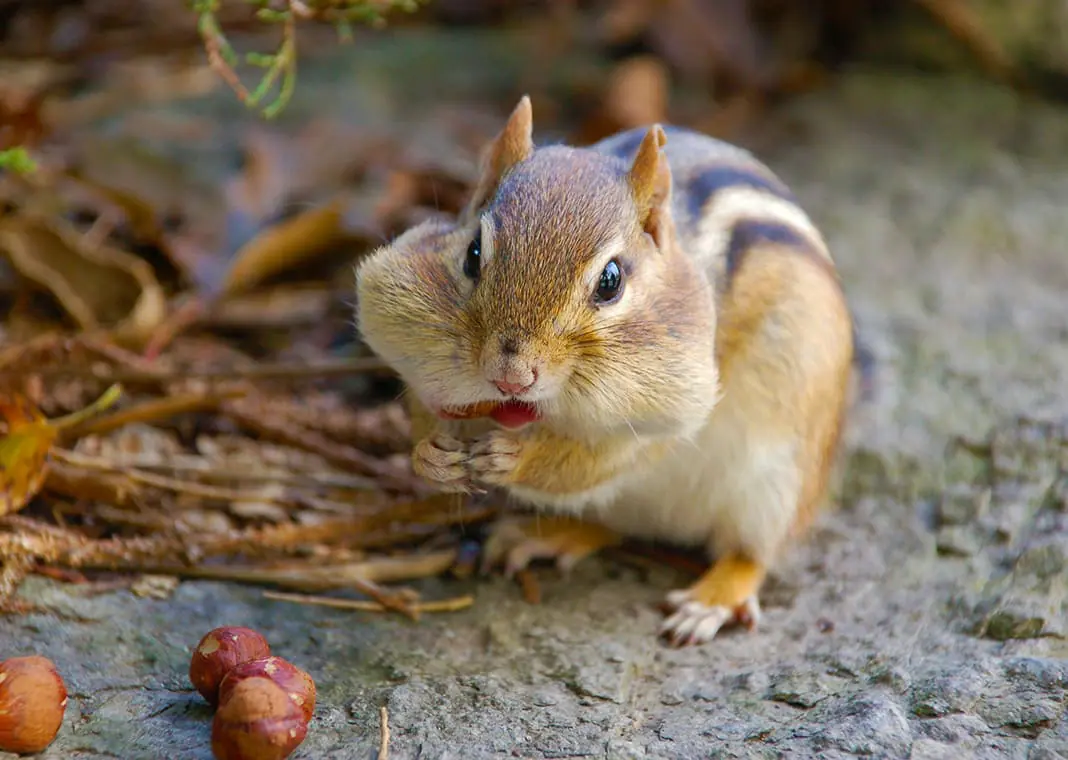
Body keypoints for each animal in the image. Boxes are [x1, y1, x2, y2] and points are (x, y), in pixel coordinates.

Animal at [355, 95, 859, 646]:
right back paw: (544, 535)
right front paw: (431, 458)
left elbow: (595, 460)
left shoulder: (671, 409)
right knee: (610, 525)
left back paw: (711, 599)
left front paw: (514, 458)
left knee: (752, 553)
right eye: (472, 254)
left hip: (778, 482)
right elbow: (424, 407)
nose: (512, 376)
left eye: (611, 281)